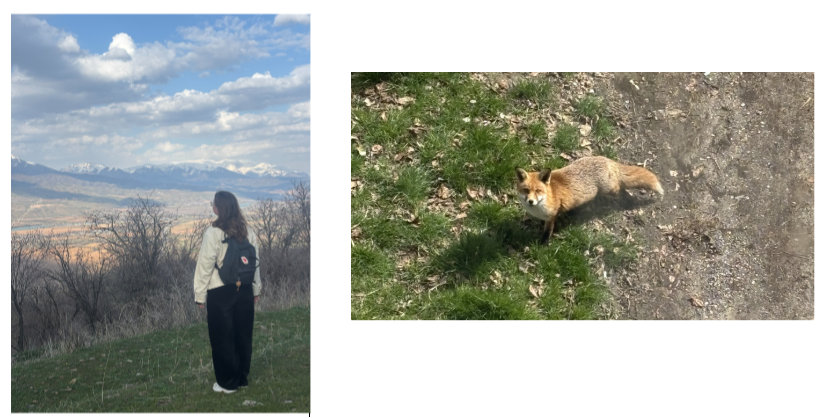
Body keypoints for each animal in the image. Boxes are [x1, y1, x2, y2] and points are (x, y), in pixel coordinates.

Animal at [515, 156, 664, 244]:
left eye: (538, 191)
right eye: (526, 190)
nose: (530, 201)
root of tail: (608, 160)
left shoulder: (552, 216)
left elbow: (548, 231)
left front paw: (544, 243)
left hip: (609, 189)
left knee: (621, 188)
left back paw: (629, 201)